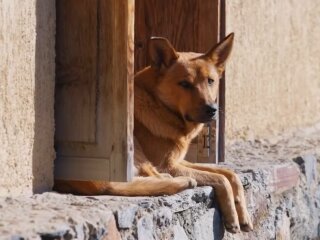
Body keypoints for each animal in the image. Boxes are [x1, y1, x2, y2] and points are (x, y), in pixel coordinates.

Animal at [56, 32, 254, 233]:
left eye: (211, 81)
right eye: (184, 84)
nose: (212, 110)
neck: (159, 104)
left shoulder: (178, 160)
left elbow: (229, 173)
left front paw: (243, 213)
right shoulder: (169, 165)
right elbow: (220, 178)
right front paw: (232, 215)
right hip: (131, 148)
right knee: (129, 183)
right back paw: (182, 181)